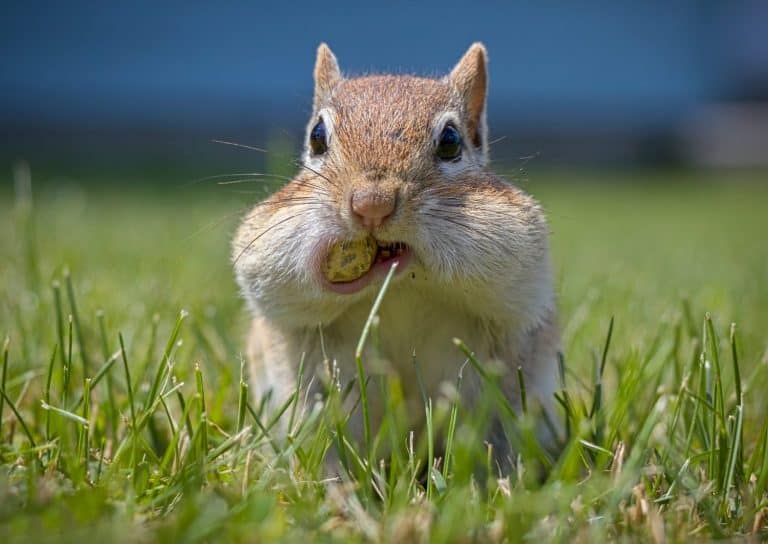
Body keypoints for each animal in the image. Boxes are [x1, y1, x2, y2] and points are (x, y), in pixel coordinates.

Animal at [232, 43, 561, 466]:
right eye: (317, 136)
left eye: (451, 140)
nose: (371, 205)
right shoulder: (268, 234)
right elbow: (281, 281)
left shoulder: (516, 239)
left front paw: (407, 257)